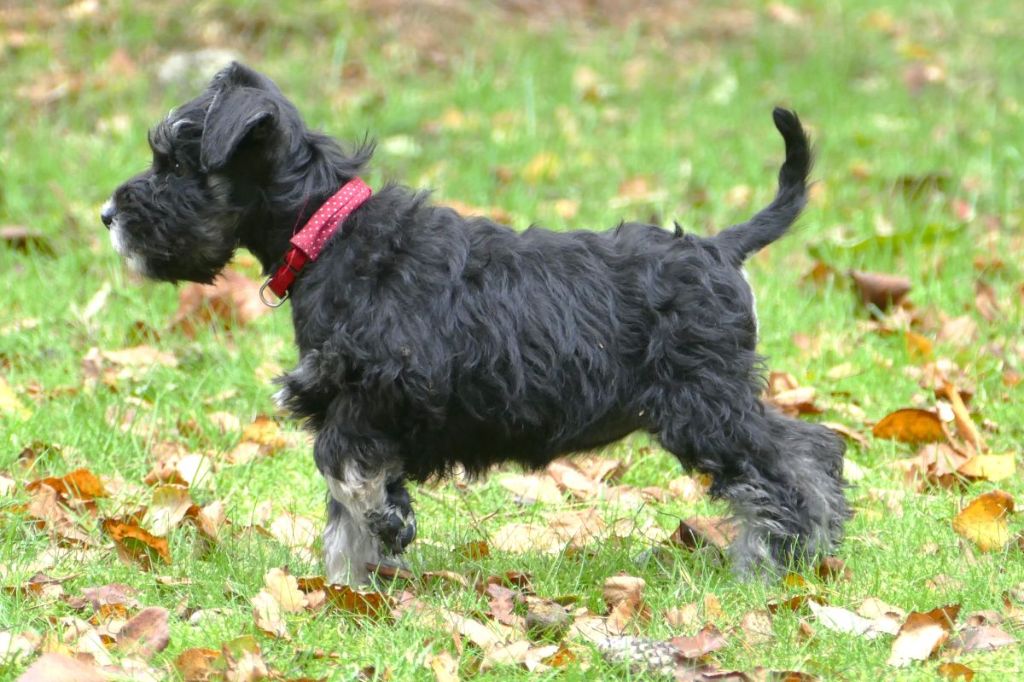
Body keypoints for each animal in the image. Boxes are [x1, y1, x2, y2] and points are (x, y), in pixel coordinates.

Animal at [102, 63, 849, 585]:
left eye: (175, 163)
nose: (109, 216)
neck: (329, 232)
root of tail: (722, 248)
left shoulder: (370, 400)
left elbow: (346, 483)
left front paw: (364, 560)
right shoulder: (360, 413)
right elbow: (350, 501)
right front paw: (353, 580)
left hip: (701, 404)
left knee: (789, 462)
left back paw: (772, 560)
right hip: (713, 400)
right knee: (812, 449)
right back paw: (816, 548)